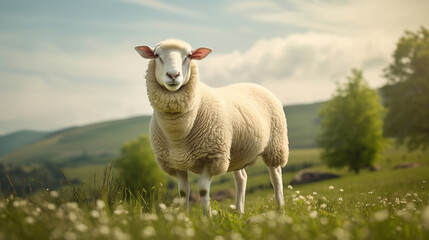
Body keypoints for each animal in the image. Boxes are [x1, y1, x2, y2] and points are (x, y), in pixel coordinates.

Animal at [134, 39, 288, 216]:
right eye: (156, 55)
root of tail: (255, 84)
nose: (173, 75)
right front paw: (184, 218)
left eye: (189, 56)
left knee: (275, 176)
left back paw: (280, 209)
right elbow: (183, 193)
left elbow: (202, 190)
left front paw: (207, 218)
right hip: (235, 152)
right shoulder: (177, 163)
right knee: (241, 178)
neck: (178, 135)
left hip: (275, 145)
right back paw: (239, 213)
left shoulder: (212, 157)